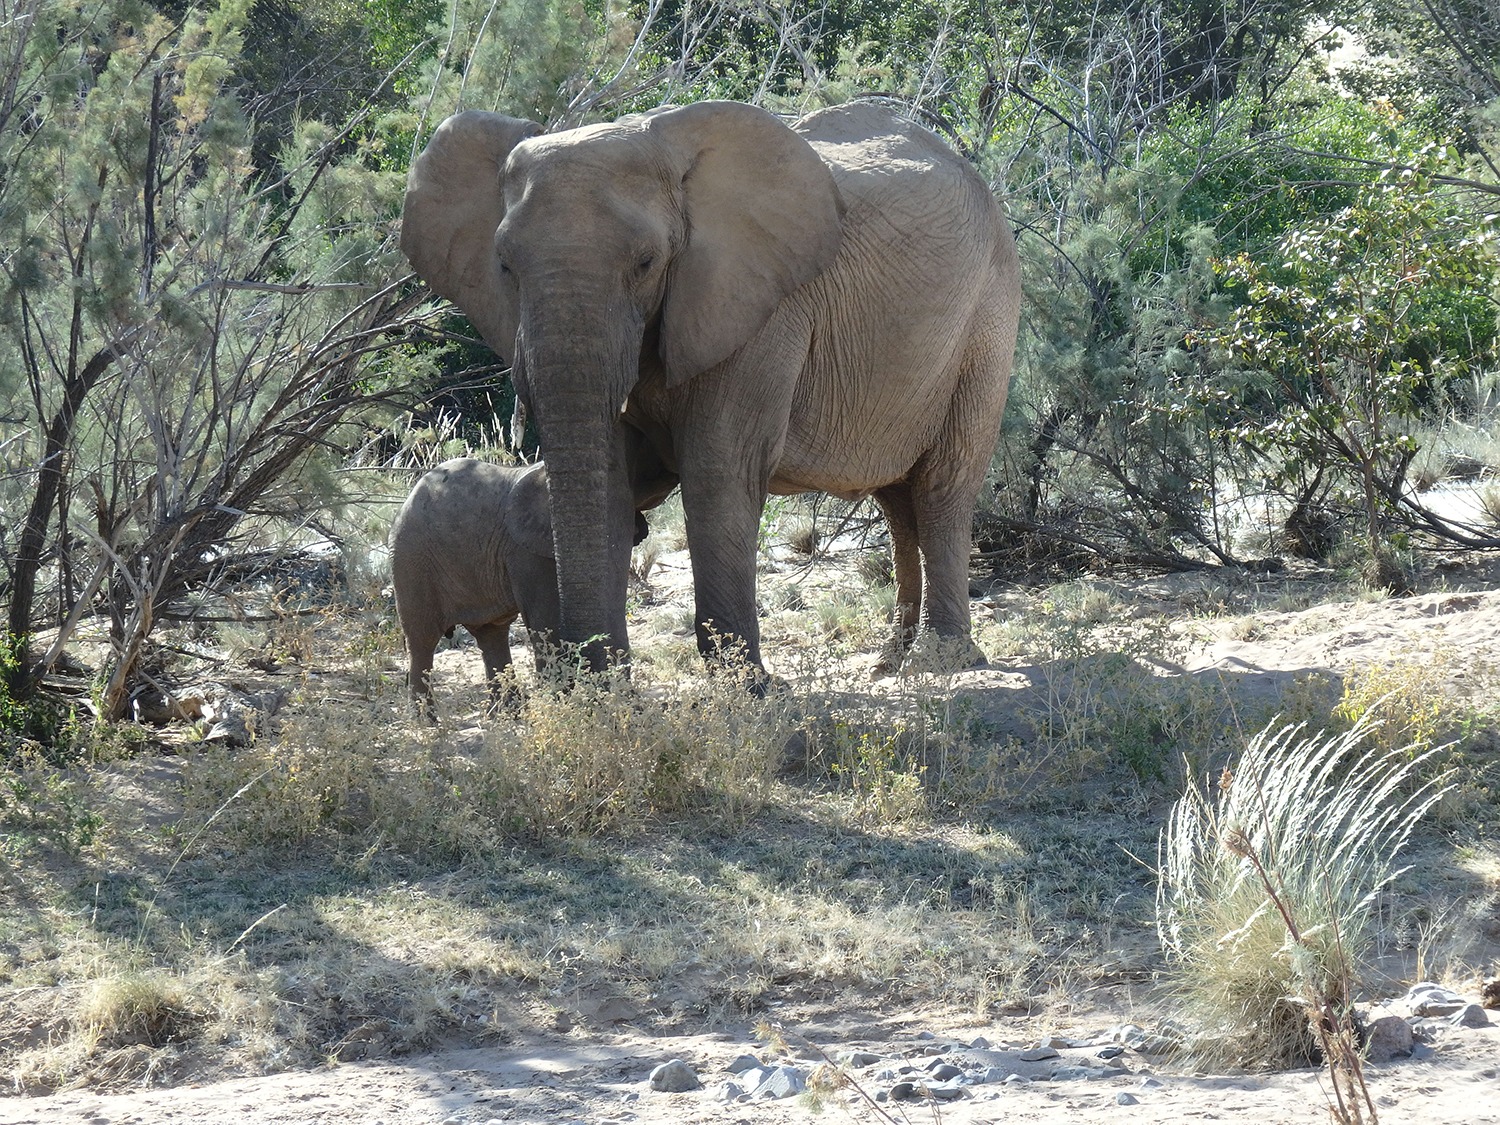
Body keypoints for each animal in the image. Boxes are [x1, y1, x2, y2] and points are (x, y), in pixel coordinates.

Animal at [390, 456, 561, 714]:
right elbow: (545, 618)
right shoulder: (526, 551)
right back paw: (425, 719)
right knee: (422, 639)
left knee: (491, 633)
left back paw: (509, 715)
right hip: (410, 560)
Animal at [402, 96, 1020, 675]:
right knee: (897, 499)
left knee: (942, 483)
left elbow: (719, 468)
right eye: (505, 267)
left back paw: (940, 661)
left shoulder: (761, 306)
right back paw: (892, 659)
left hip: (987, 318)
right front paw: (613, 694)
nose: (592, 672)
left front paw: (750, 691)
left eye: (647, 262)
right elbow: (611, 478)